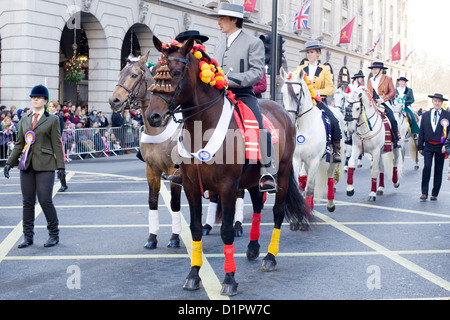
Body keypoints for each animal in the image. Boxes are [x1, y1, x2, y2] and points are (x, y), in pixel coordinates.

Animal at [108, 52, 182, 249]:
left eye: (134, 75)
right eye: (119, 73)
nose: (114, 101)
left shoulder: (173, 170)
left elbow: (175, 203)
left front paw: (174, 238)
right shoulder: (151, 169)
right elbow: (153, 201)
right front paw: (152, 238)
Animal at [148, 36, 310, 296]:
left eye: (175, 73)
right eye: (154, 73)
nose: (152, 116)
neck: (203, 128)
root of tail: (282, 111)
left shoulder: (226, 187)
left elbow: (226, 231)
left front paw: (229, 279)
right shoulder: (191, 186)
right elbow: (195, 228)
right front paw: (193, 275)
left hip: (283, 174)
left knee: (277, 212)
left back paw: (270, 257)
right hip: (252, 180)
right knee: (257, 206)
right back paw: (253, 247)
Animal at [282, 68, 344, 212]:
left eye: (297, 93)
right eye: (282, 92)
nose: (289, 118)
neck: (305, 126)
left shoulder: (314, 160)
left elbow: (309, 187)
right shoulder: (297, 158)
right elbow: (300, 183)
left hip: (331, 160)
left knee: (330, 176)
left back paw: (330, 203)